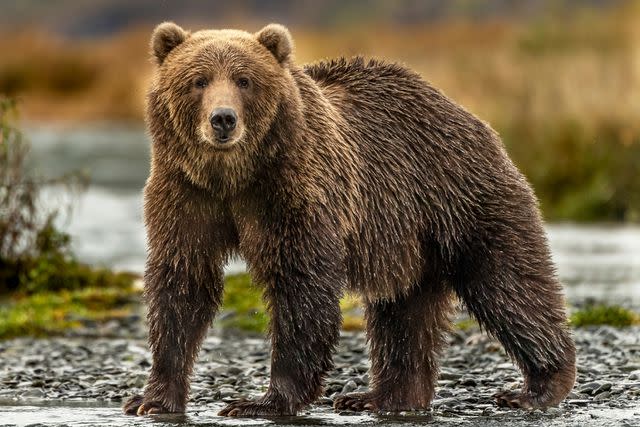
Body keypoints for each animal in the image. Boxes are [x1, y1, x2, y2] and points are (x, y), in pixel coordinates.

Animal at [122, 21, 576, 416]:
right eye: (198, 80)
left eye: (244, 80)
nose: (223, 119)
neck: (234, 176)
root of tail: (466, 114)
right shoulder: (185, 194)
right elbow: (183, 282)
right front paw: (152, 399)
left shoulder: (293, 192)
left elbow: (300, 285)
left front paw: (262, 401)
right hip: (407, 238)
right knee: (402, 312)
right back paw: (381, 396)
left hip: (459, 195)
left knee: (507, 282)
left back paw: (537, 386)